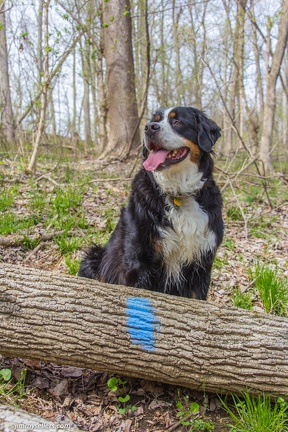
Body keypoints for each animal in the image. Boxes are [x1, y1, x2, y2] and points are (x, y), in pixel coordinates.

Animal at [78, 106, 223, 298]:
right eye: (155, 120)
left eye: (177, 122)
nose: (149, 128)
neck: (178, 193)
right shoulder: (139, 262)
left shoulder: (201, 265)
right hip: (94, 257)